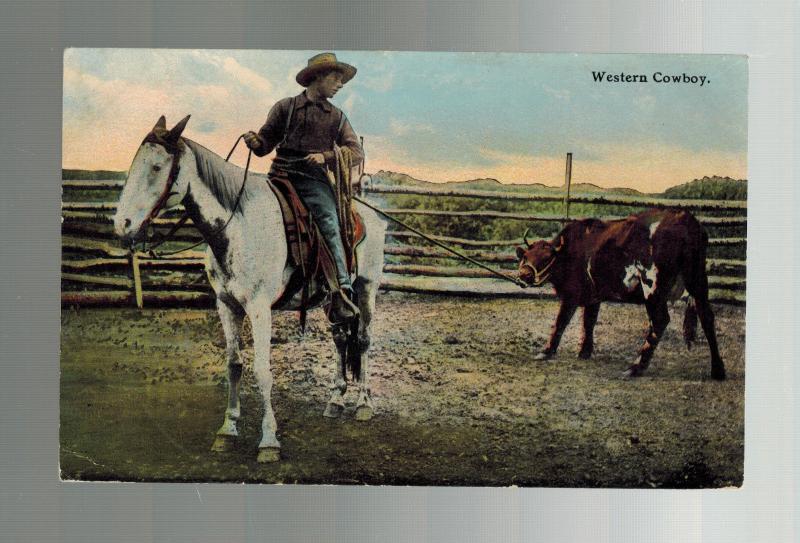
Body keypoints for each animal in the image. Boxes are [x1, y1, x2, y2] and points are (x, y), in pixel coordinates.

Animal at [114, 116, 386, 464]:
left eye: (158, 167)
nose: (122, 224)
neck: (237, 226)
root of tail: (369, 213)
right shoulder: (227, 305)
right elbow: (234, 365)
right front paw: (227, 430)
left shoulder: (259, 308)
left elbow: (262, 370)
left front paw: (268, 440)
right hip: (333, 299)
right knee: (340, 339)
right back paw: (335, 401)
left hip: (366, 289)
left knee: (362, 341)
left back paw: (364, 403)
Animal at [516, 210, 728, 380]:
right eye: (526, 256)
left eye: (546, 258)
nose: (524, 275)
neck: (572, 249)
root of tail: (685, 218)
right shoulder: (593, 296)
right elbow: (588, 322)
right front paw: (584, 351)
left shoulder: (571, 295)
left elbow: (560, 322)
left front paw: (546, 351)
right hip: (698, 281)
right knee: (707, 316)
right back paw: (717, 370)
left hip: (653, 288)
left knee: (660, 321)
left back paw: (635, 368)